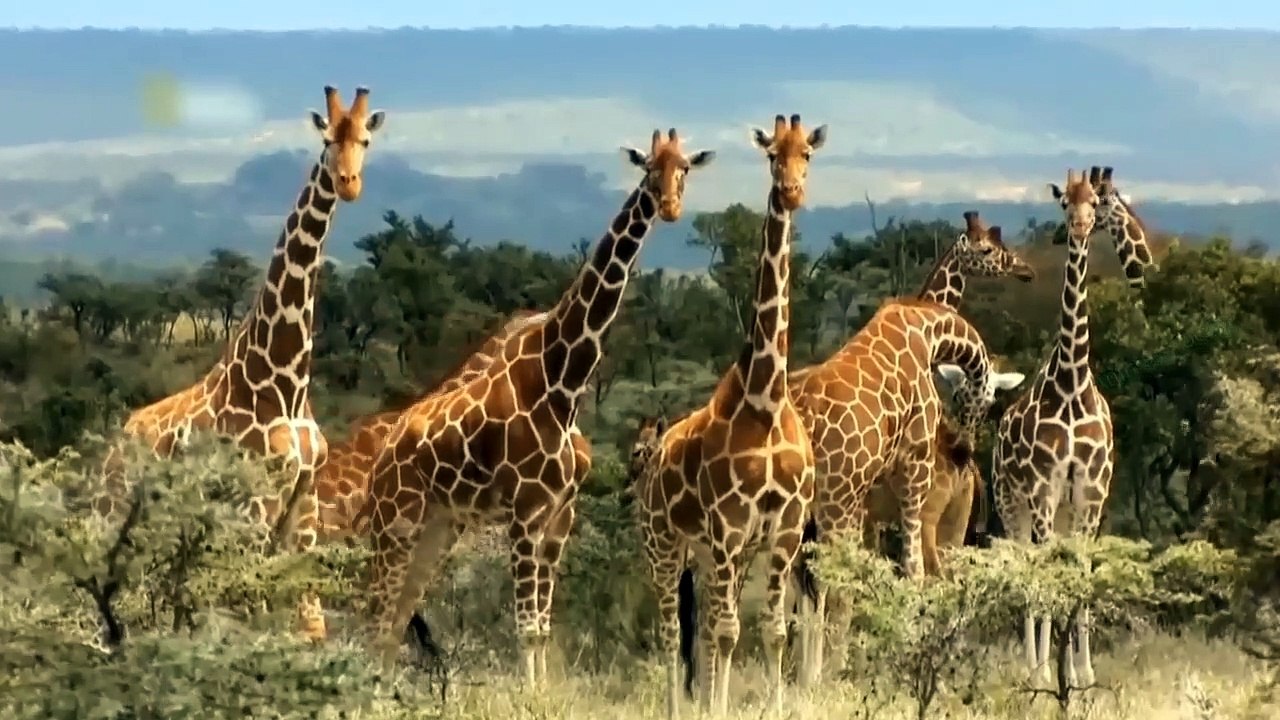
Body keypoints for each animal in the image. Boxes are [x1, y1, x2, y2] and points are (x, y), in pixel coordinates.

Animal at [90, 85, 384, 638]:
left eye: (366, 139)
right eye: (327, 140)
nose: (350, 184)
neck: (285, 382)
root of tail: (117, 440)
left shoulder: (303, 509)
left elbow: (309, 626)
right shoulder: (253, 510)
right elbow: (253, 616)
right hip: (112, 512)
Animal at [358, 126, 721, 681]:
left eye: (683, 168)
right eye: (647, 168)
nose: (670, 206)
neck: (562, 381)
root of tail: (381, 460)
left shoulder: (556, 513)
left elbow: (542, 627)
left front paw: (542, 689)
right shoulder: (525, 511)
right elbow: (526, 627)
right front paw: (530, 692)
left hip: (436, 528)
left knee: (395, 619)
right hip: (394, 521)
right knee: (377, 616)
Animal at [634, 114, 824, 712]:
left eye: (808, 153)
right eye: (771, 155)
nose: (792, 190)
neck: (764, 400)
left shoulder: (783, 531)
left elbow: (773, 631)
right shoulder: (729, 530)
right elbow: (723, 633)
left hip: (712, 555)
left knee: (706, 627)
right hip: (664, 546)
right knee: (673, 630)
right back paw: (677, 709)